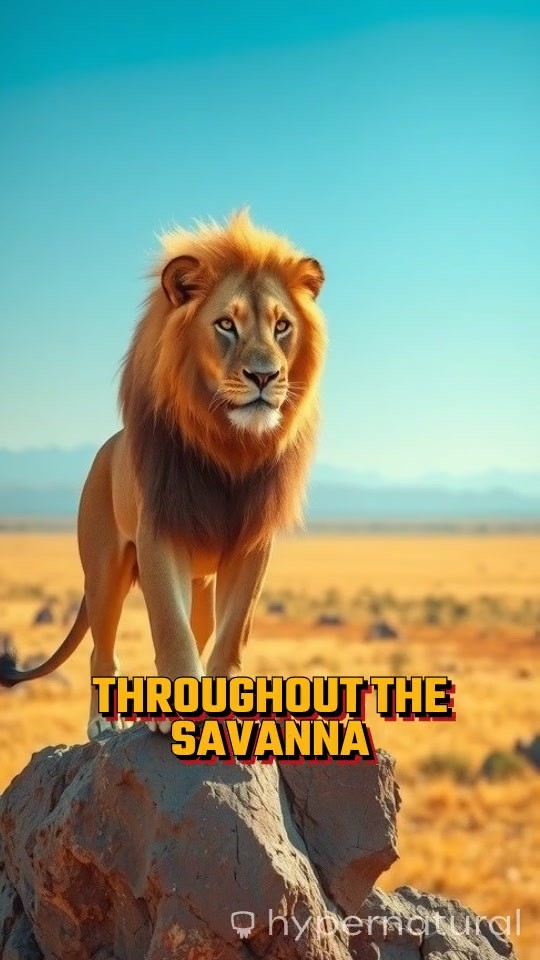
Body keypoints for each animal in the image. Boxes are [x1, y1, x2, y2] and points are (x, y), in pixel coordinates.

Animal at [0, 211, 327, 739]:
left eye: (282, 326)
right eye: (226, 324)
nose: (264, 377)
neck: (227, 444)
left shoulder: (253, 546)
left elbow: (232, 635)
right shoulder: (159, 535)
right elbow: (171, 633)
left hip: (201, 585)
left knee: (200, 628)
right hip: (104, 570)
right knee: (101, 650)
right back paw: (103, 722)